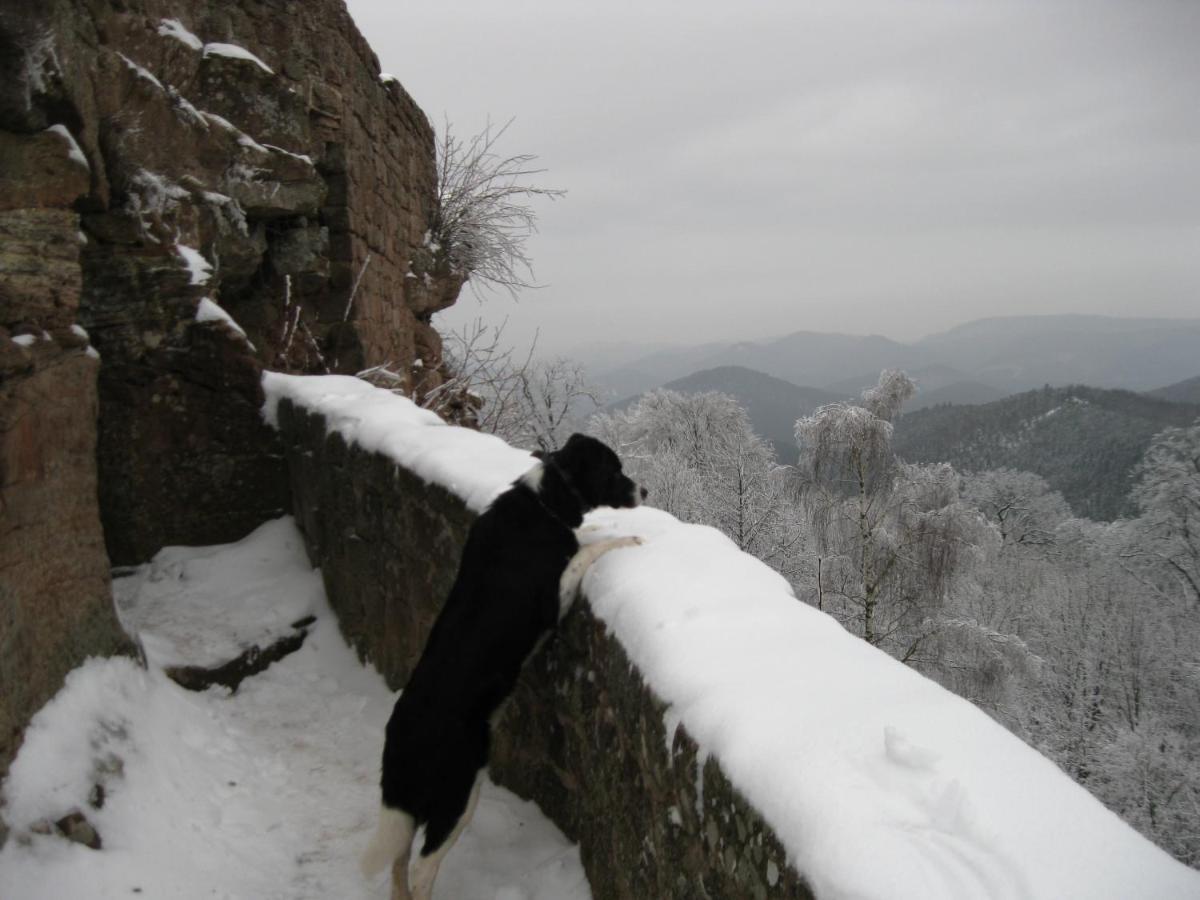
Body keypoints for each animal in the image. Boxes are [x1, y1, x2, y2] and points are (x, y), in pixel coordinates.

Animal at [360, 434, 648, 897]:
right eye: (614, 469)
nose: (646, 491)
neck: (545, 500)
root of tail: (400, 742)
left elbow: (584, 537)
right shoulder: (554, 600)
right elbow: (586, 551)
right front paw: (628, 539)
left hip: (415, 809)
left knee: (398, 864)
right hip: (457, 795)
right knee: (422, 868)